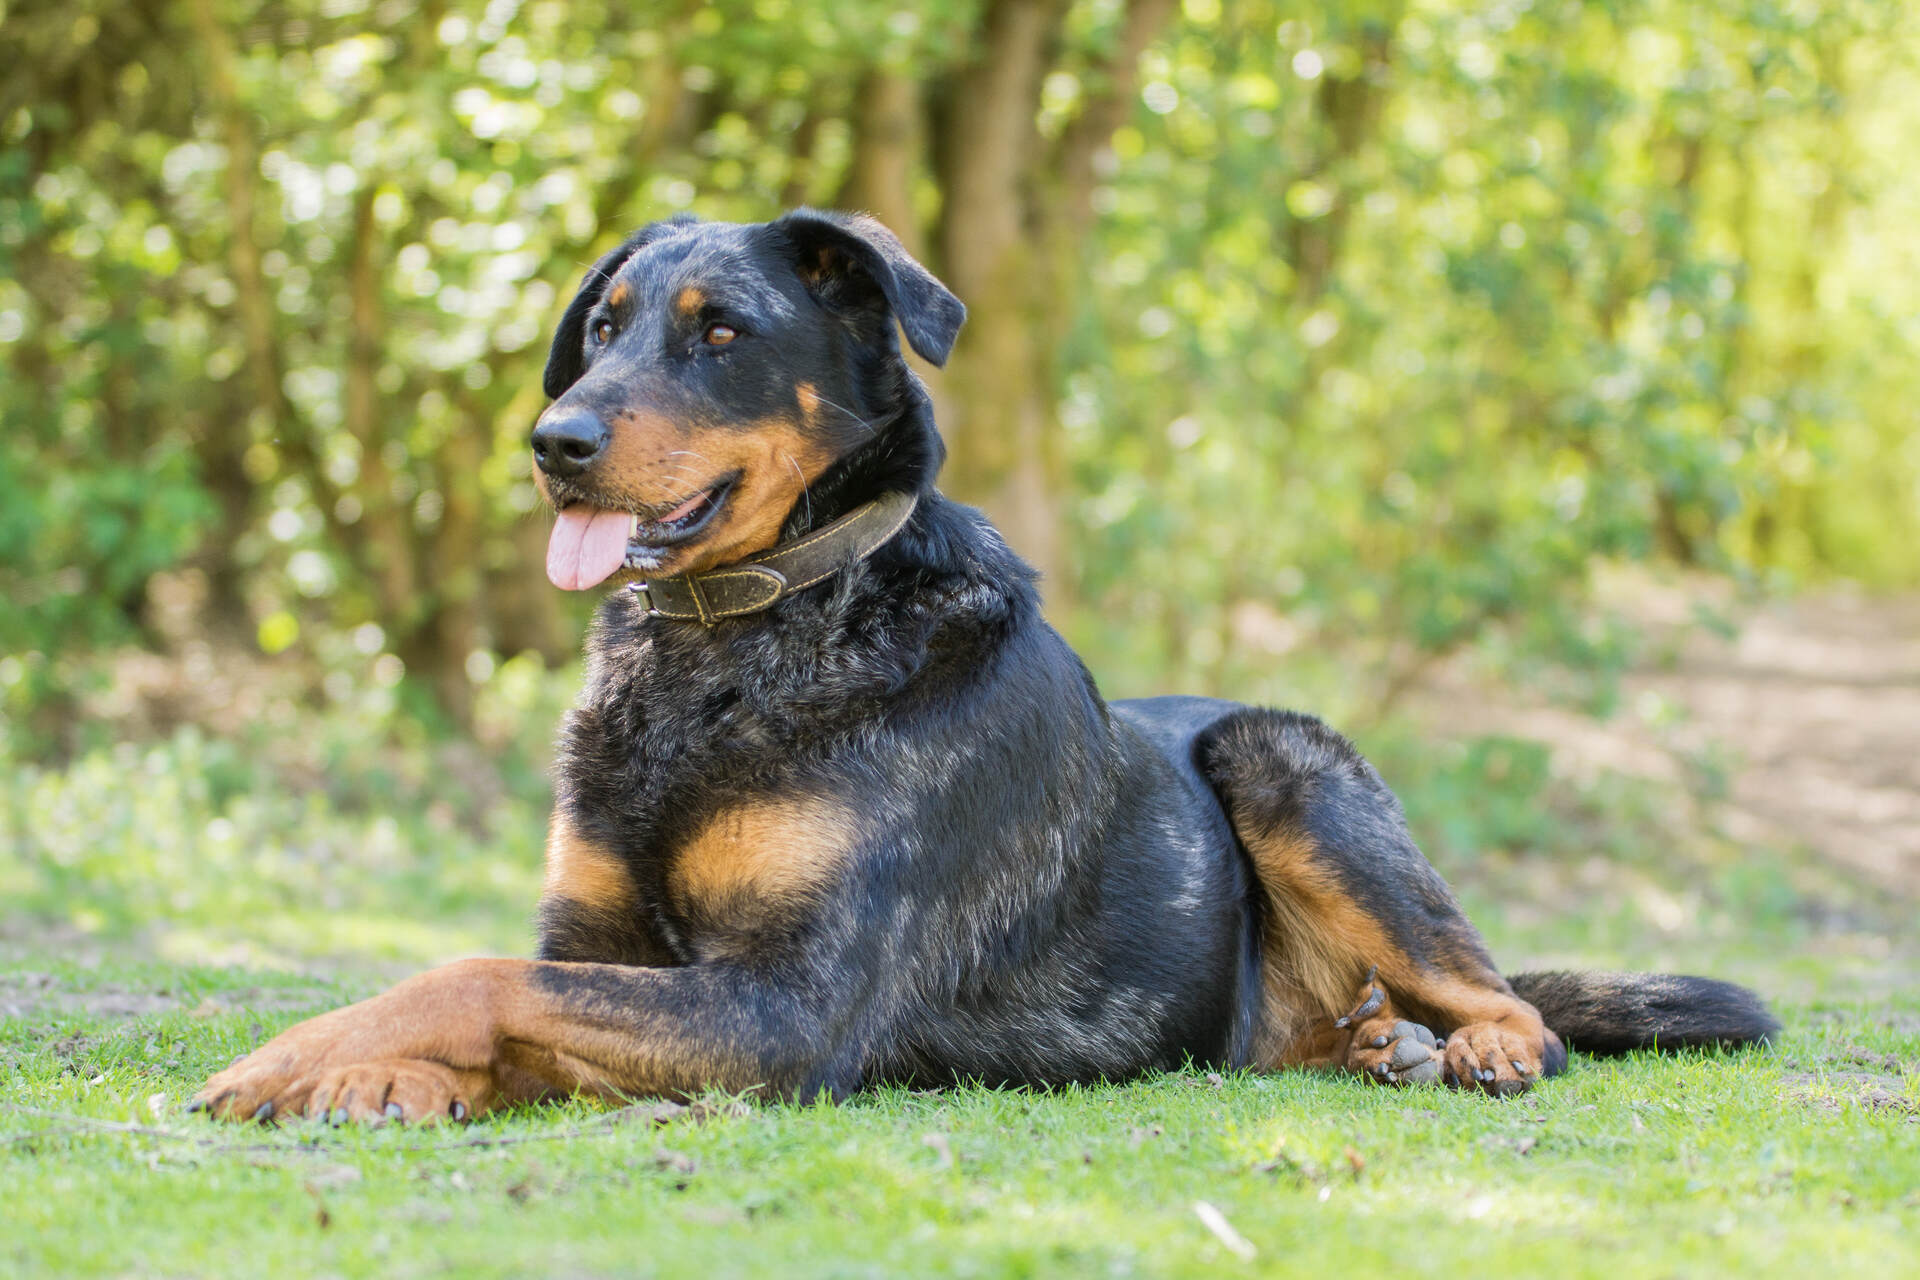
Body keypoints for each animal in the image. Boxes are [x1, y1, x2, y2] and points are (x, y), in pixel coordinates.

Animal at [191, 213, 1766, 1128]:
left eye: (720, 333)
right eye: (601, 326)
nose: (554, 441)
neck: (735, 638)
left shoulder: (788, 1008)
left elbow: (467, 974)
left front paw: (300, 1053)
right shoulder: (597, 945)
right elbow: (500, 987)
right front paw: (373, 1070)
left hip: (1284, 754)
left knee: (1506, 992)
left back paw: (1474, 1045)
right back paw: (1380, 1043)